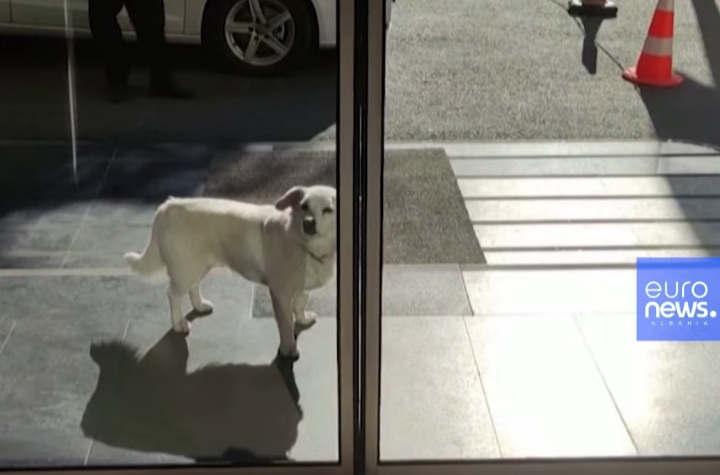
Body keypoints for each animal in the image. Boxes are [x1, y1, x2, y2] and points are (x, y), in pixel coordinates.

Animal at [123, 185, 337, 359]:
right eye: (304, 206)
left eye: (328, 210)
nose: (308, 223)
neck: (303, 243)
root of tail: (168, 206)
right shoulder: (280, 293)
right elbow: (286, 324)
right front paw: (288, 348)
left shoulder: (301, 287)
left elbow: (301, 303)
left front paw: (302, 318)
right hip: (185, 269)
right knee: (173, 295)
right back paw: (178, 323)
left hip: (199, 265)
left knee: (194, 286)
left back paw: (199, 305)